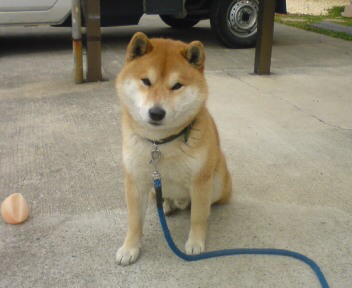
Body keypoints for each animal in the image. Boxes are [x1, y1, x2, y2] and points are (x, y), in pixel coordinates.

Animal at [115, 33, 231, 266]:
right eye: (146, 81)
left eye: (177, 86)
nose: (156, 113)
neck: (160, 144)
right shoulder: (135, 181)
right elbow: (134, 221)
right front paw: (130, 248)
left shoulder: (200, 181)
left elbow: (197, 216)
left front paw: (195, 242)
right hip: (153, 189)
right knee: (164, 197)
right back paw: (168, 204)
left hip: (219, 181)